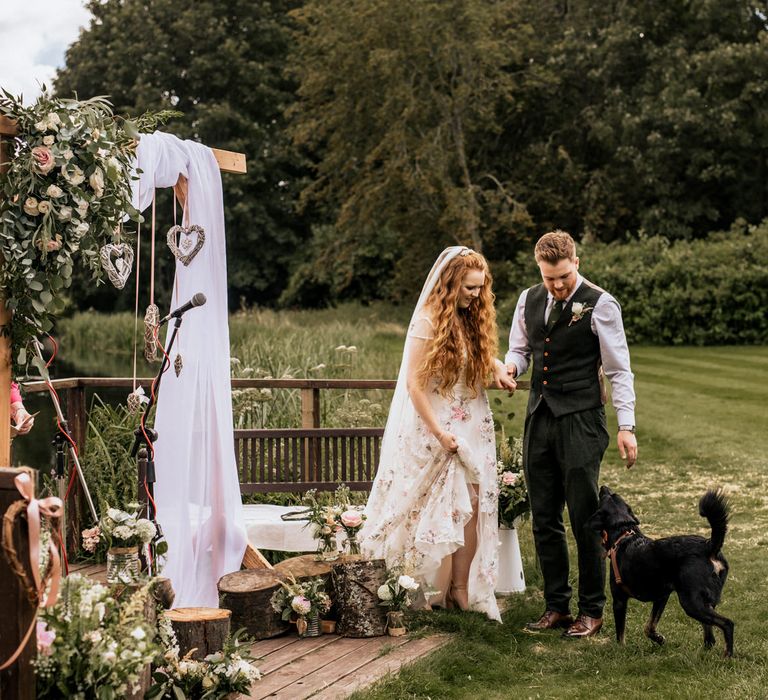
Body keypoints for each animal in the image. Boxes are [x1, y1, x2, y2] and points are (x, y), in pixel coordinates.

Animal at [588, 486, 732, 656]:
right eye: (613, 494)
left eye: (605, 496)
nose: (603, 487)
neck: (623, 533)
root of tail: (709, 546)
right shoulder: (662, 596)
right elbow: (649, 627)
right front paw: (659, 639)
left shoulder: (619, 601)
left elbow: (620, 635)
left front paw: (620, 651)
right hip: (702, 602)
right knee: (710, 634)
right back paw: (704, 652)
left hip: (691, 602)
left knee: (727, 623)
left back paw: (728, 655)